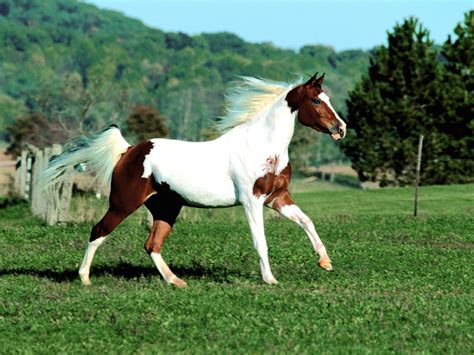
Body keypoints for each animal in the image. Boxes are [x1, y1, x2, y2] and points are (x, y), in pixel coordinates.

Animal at [39, 73, 344, 290]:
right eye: (317, 101)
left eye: (327, 98)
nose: (340, 128)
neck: (260, 146)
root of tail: (128, 151)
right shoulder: (251, 201)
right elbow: (261, 241)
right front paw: (270, 279)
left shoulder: (277, 198)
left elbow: (307, 221)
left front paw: (325, 262)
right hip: (123, 203)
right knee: (98, 231)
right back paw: (85, 278)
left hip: (165, 208)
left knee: (152, 245)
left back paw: (176, 281)